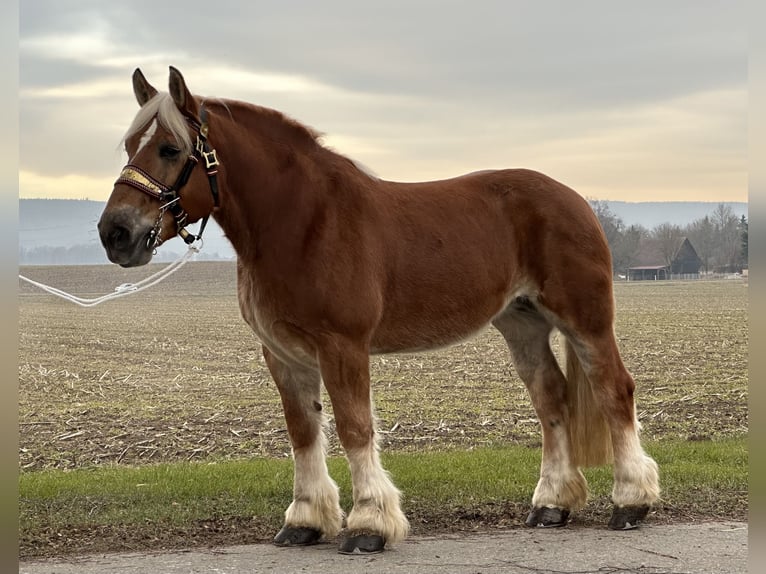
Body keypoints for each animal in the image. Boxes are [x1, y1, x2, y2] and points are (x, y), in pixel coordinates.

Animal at [97, 67, 660, 560]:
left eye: (170, 149)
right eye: (128, 146)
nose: (115, 233)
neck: (303, 222)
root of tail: (575, 199)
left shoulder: (342, 345)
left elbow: (353, 427)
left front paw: (368, 524)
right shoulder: (282, 354)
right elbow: (303, 431)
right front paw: (305, 520)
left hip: (586, 320)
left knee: (614, 390)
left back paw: (631, 501)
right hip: (523, 324)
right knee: (552, 400)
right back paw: (551, 504)